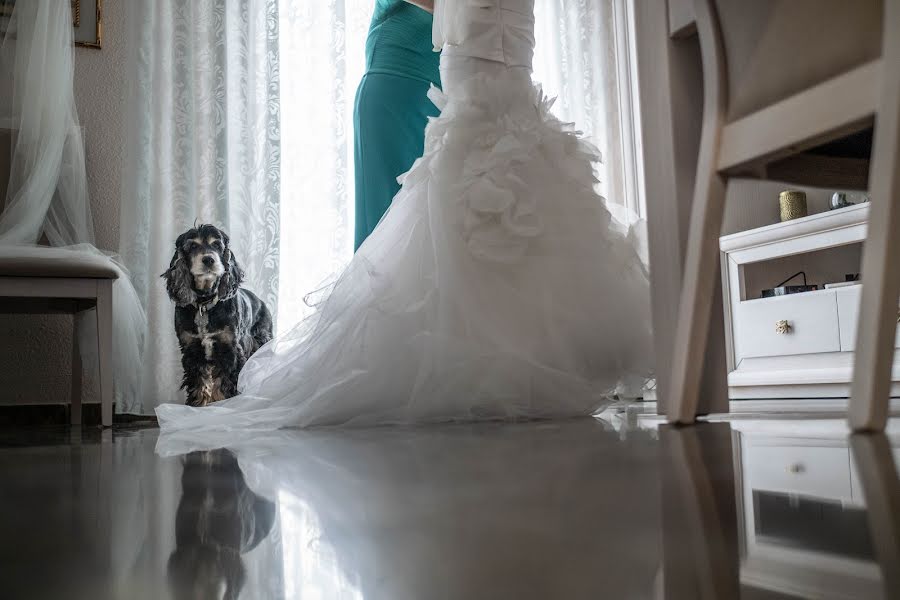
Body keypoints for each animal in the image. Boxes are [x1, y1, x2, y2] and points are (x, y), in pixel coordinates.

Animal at [162, 225, 274, 408]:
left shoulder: (230, 348)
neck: (204, 305)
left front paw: (223, 405)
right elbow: (198, 382)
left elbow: (225, 382)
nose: (208, 260)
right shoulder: (192, 349)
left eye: (216, 244)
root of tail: (261, 301)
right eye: (192, 246)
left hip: (261, 341)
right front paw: (196, 405)